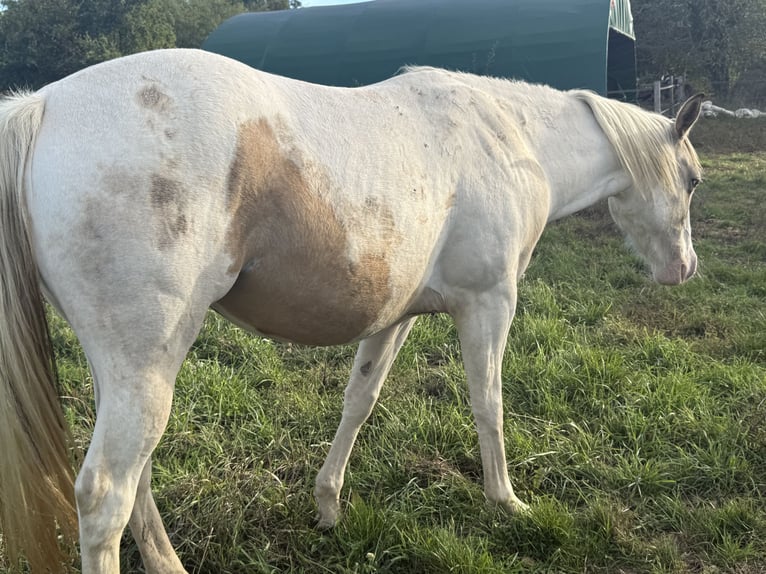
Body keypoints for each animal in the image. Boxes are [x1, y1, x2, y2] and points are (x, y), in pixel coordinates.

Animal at [0, 48, 702, 573]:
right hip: (145, 364)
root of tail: (44, 105)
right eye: (693, 180)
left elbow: (359, 403)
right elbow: (489, 403)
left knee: (136, 477)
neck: (509, 139)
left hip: (129, 368)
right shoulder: (489, 304)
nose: (685, 268)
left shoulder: (396, 317)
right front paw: (505, 501)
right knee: (105, 494)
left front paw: (328, 507)